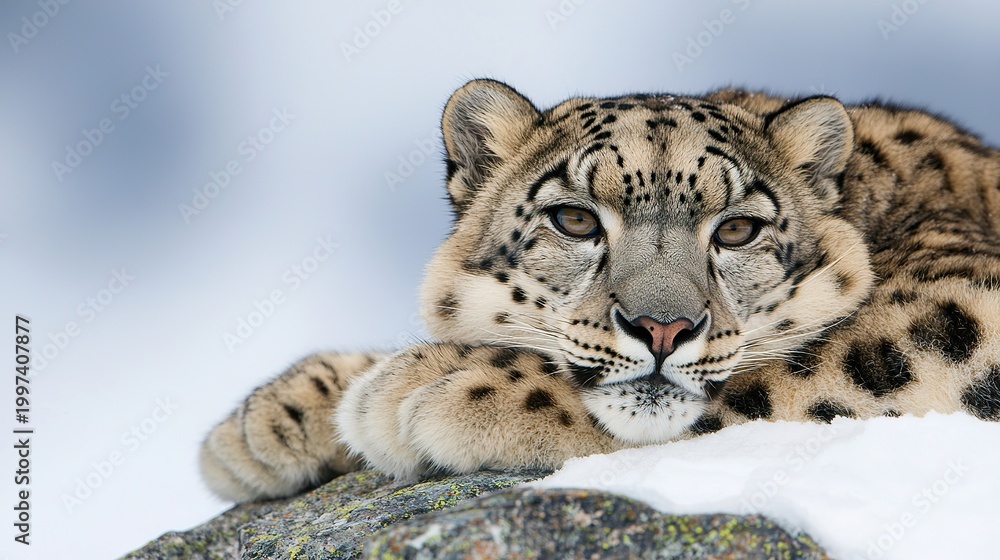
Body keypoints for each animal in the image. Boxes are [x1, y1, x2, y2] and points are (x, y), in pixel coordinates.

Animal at [200, 79, 1000, 504]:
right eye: (576, 218)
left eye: (738, 229)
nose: (662, 328)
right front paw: (273, 419)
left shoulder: (965, 303)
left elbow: (785, 369)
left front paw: (425, 386)